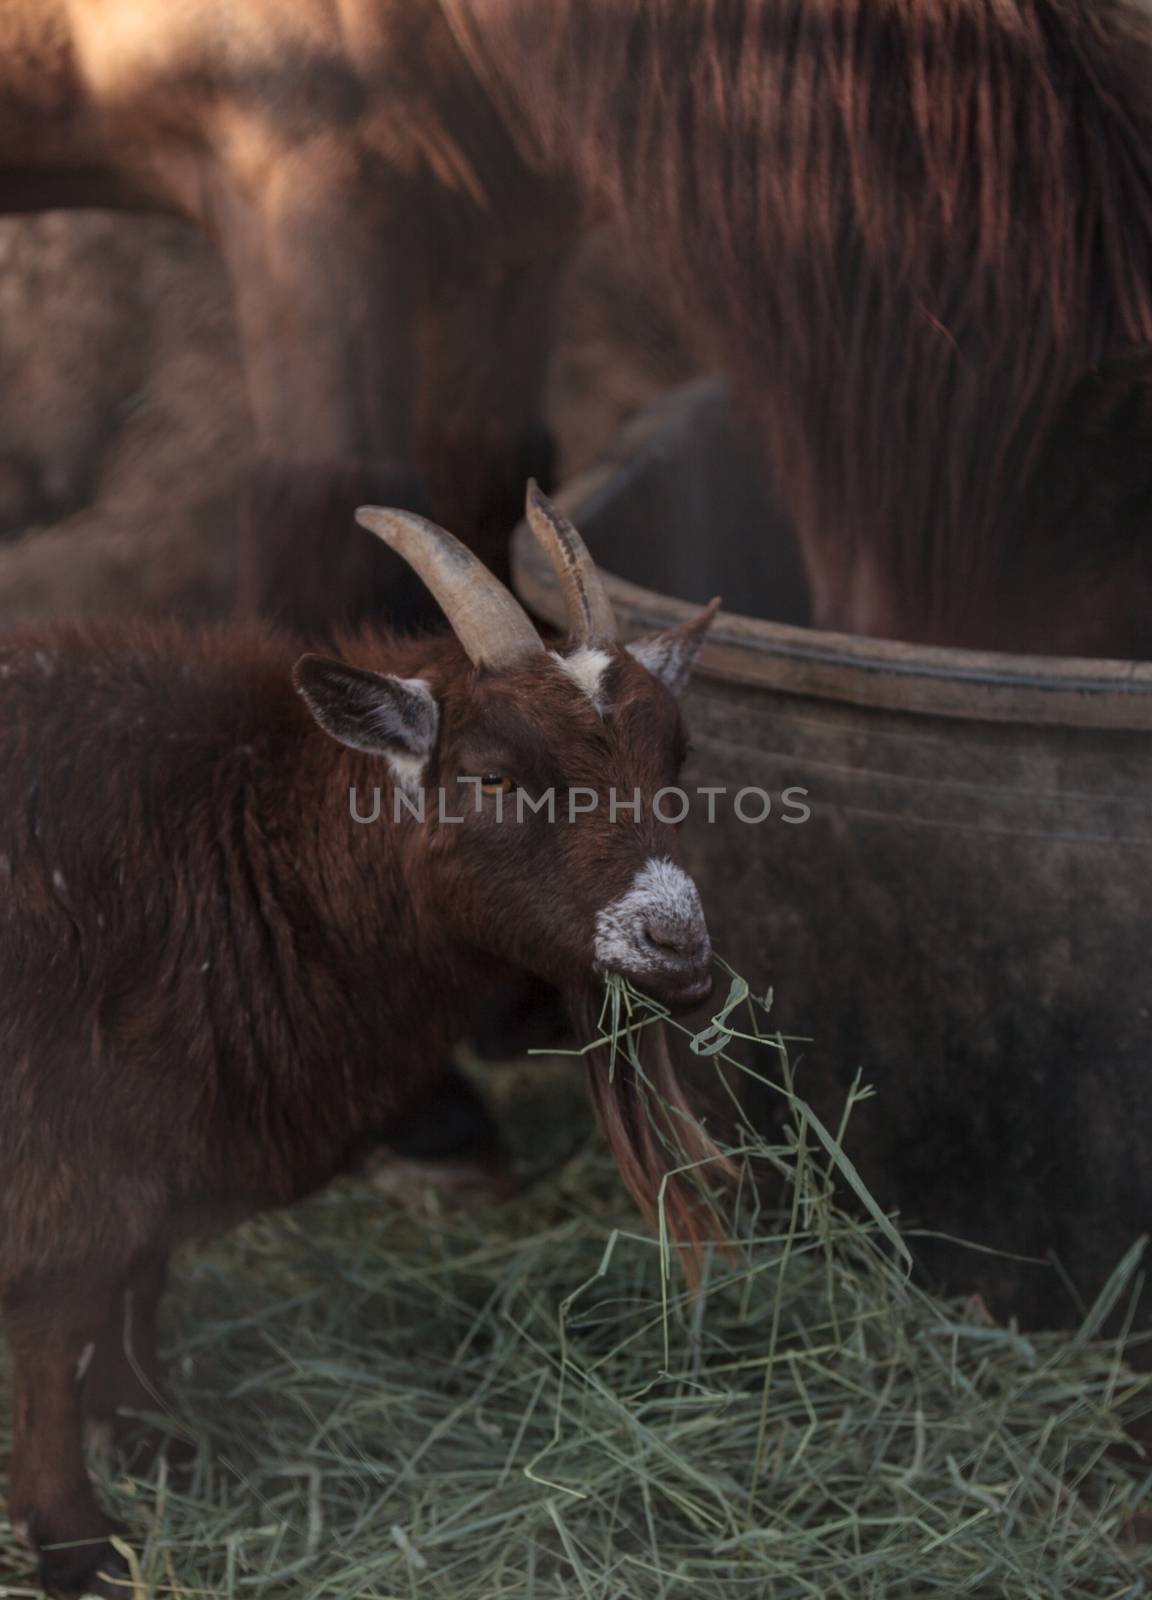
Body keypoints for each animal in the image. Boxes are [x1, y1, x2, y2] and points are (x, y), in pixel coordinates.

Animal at [0, 486, 720, 1600]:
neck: (237, 838)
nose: (678, 947)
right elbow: (53, 1328)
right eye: (491, 777)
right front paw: (76, 1543)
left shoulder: (158, 1139)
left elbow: (140, 1282)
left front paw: (155, 1435)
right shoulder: (63, 1148)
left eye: (672, 762)